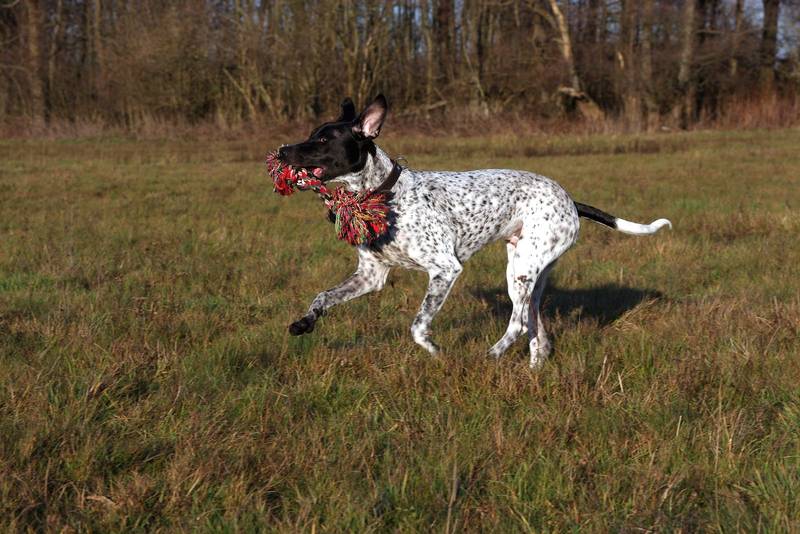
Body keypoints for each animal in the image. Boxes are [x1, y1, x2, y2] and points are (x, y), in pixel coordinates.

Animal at [277, 95, 671, 367]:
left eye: (324, 141)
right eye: (310, 135)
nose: (282, 150)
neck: (384, 196)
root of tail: (570, 200)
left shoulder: (445, 270)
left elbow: (418, 325)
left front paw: (435, 350)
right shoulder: (370, 276)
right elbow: (322, 297)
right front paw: (304, 323)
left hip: (523, 270)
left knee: (517, 326)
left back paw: (492, 355)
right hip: (524, 275)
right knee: (535, 330)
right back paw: (532, 371)